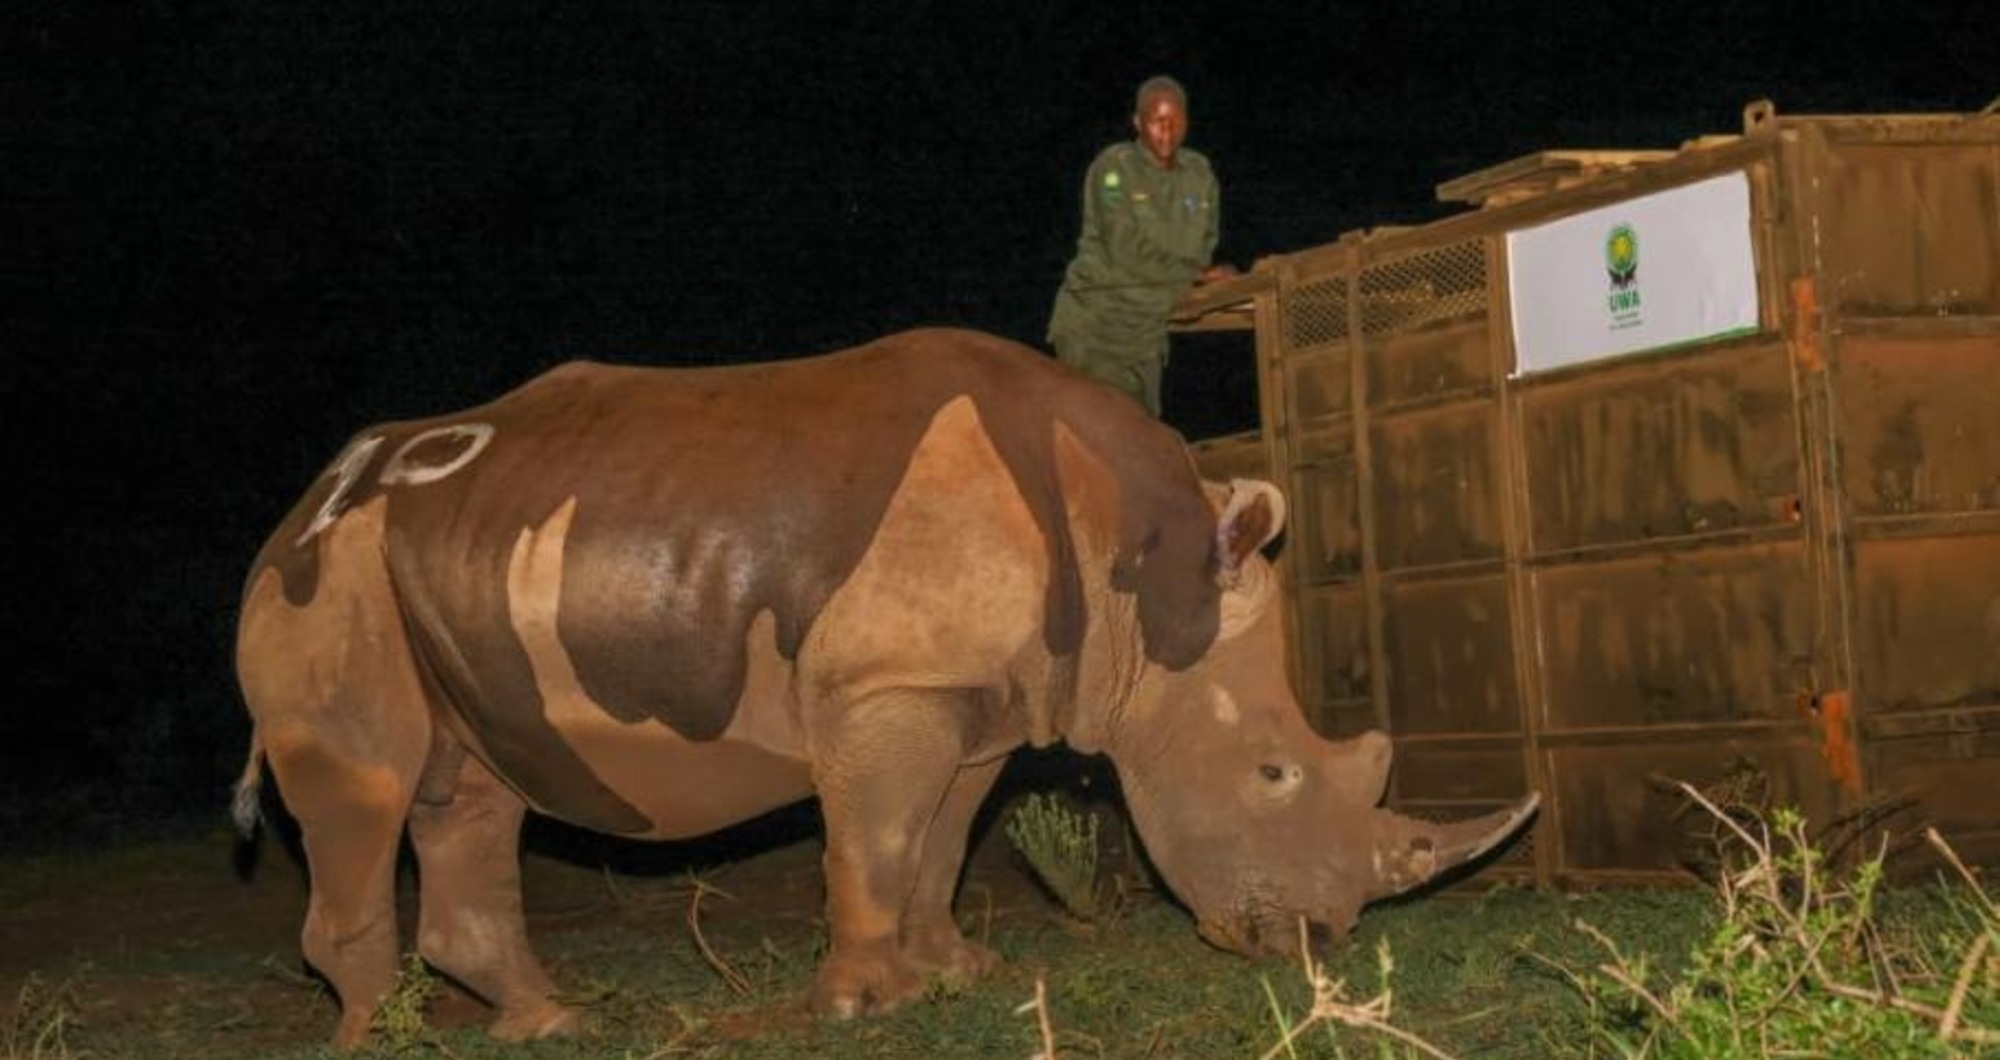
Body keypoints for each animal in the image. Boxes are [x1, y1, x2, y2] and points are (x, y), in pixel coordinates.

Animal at [233, 327, 1537, 1048]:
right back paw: (382, 1035)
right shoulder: (890, 683)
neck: (1143, 579)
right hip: (331, 578)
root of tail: (301, 505)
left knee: (468, 793)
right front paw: (863, 1003)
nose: (1312, 940)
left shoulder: (979, 696)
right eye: (1271, 771)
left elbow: (941, 837)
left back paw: (550, 1021)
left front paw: (953, 973)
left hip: (426, 568)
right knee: (366, 786)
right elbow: (873, 835)